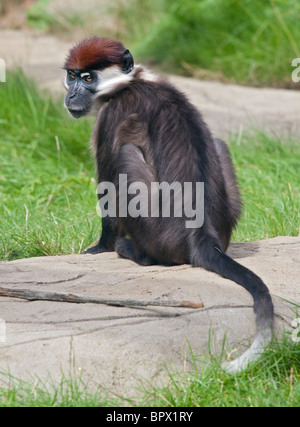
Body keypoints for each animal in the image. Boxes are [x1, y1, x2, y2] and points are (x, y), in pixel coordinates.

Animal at [63, 36, 274, 372]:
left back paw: (134, 252)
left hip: (154, 232)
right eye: (71, 76)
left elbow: (107, 192)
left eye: (87, 78)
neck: (129, 83)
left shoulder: (110, 115)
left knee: (124, 154)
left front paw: (99, 248)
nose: (71, 94)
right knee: (219, 143)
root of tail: (202, 235)